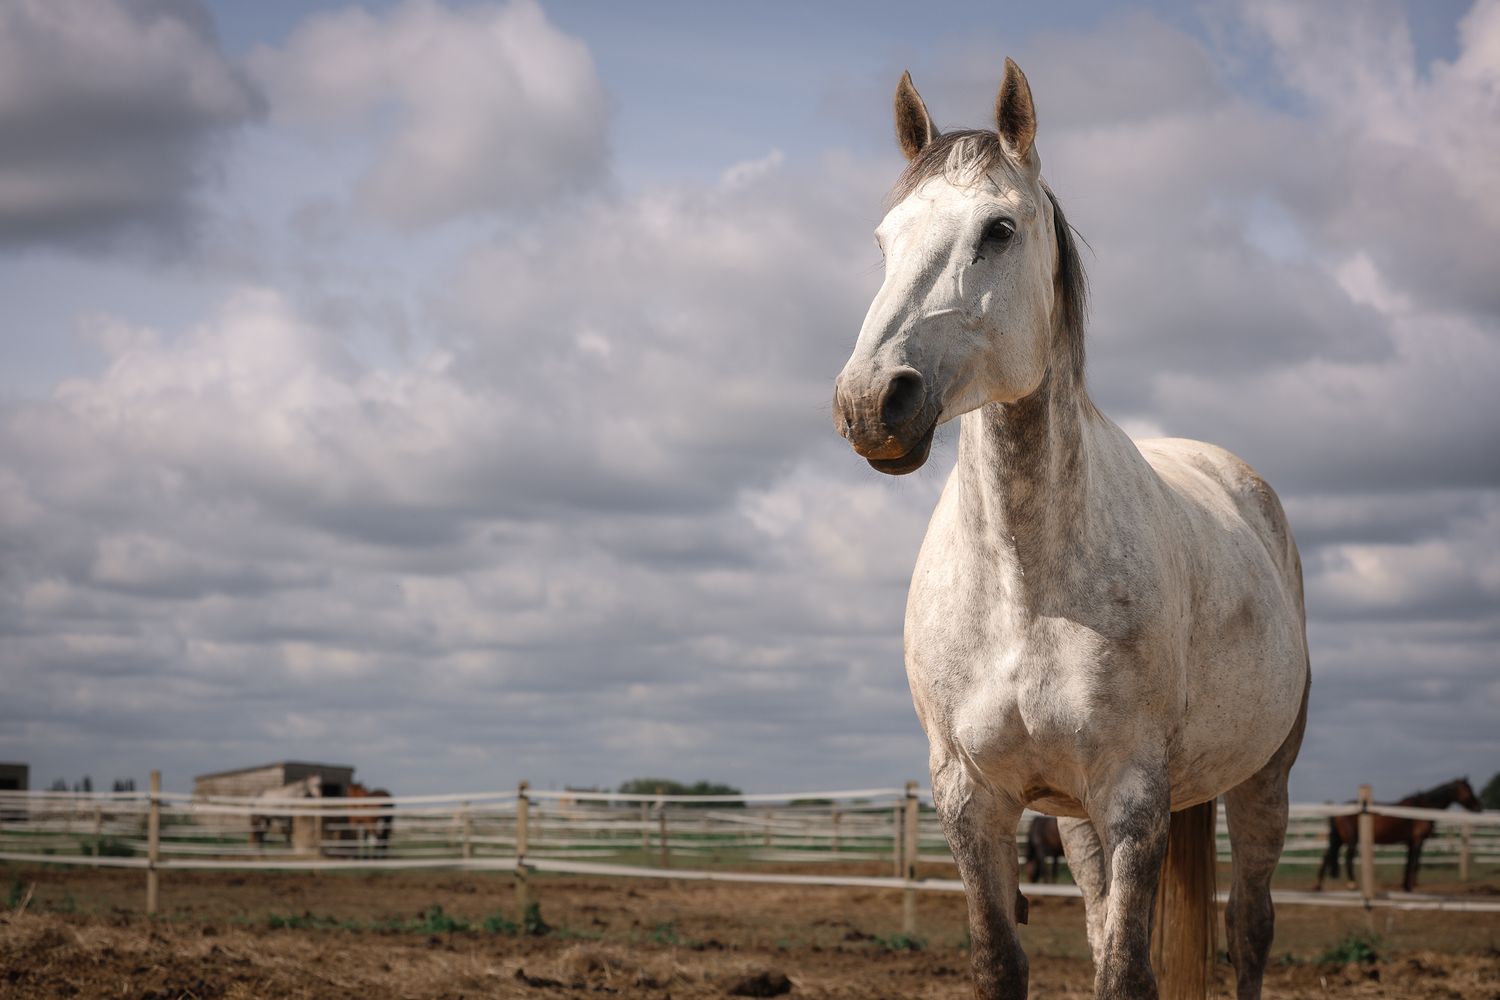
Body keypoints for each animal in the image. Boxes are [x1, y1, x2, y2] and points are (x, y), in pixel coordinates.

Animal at [833, 59, 1309, 1000]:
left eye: (999, 229)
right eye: (883, 240)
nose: (872, 403)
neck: (1024, 587)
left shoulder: (1133, 799)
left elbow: (1126, 972)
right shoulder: (971, 799)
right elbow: (1003, 960)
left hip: (1263, 782)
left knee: (1250, 929)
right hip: (1078, 817)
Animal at [1315, 777, 1482, 892]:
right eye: (1469, 790)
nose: (1479, 808)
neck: (1422, 807)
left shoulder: (1410, 842)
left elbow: (1408, 864)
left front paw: (1405, 886)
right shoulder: (1417, 841)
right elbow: (1415, 864)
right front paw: (1410, 887)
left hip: (1339, 840)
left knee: (1326, 857)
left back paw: (1318, 886)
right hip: (1351, 840)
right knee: (1347, 858)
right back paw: (1352, 885)